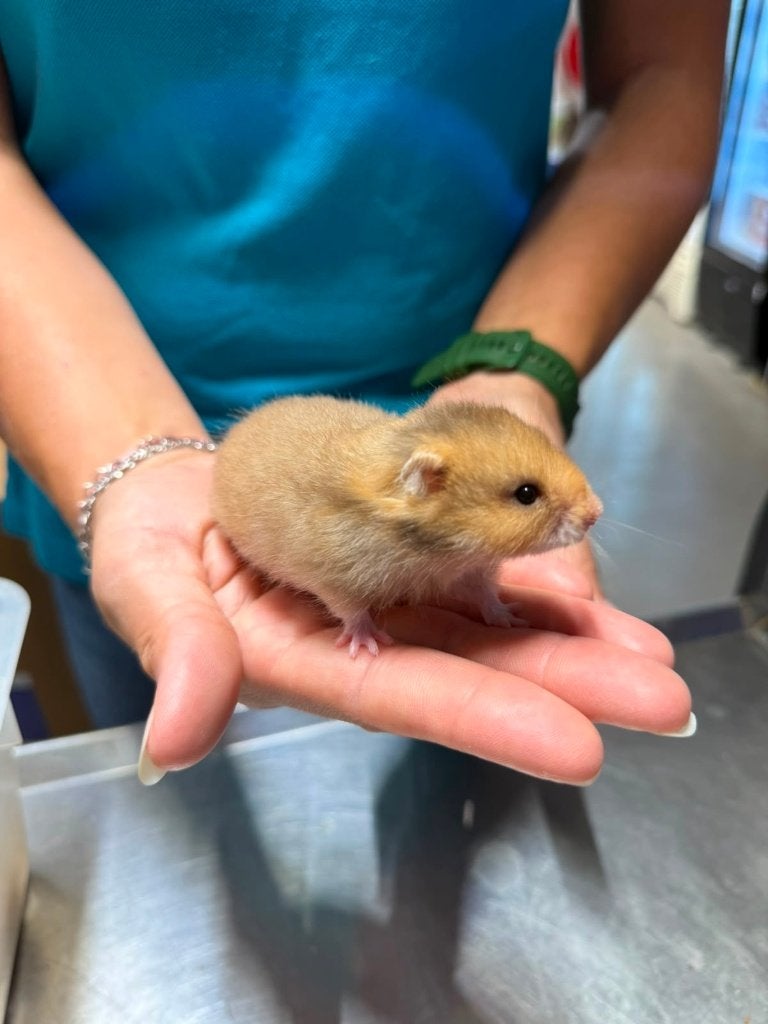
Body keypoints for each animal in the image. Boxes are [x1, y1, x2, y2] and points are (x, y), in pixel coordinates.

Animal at [212, 396, 602, 657]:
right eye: (526, 494)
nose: (596, 513)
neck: (443, 550)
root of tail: (232, 434)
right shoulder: (336, 581)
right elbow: (352, 613)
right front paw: (370, 646)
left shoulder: (471, 571)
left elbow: (486, 596)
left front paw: (512, 617)